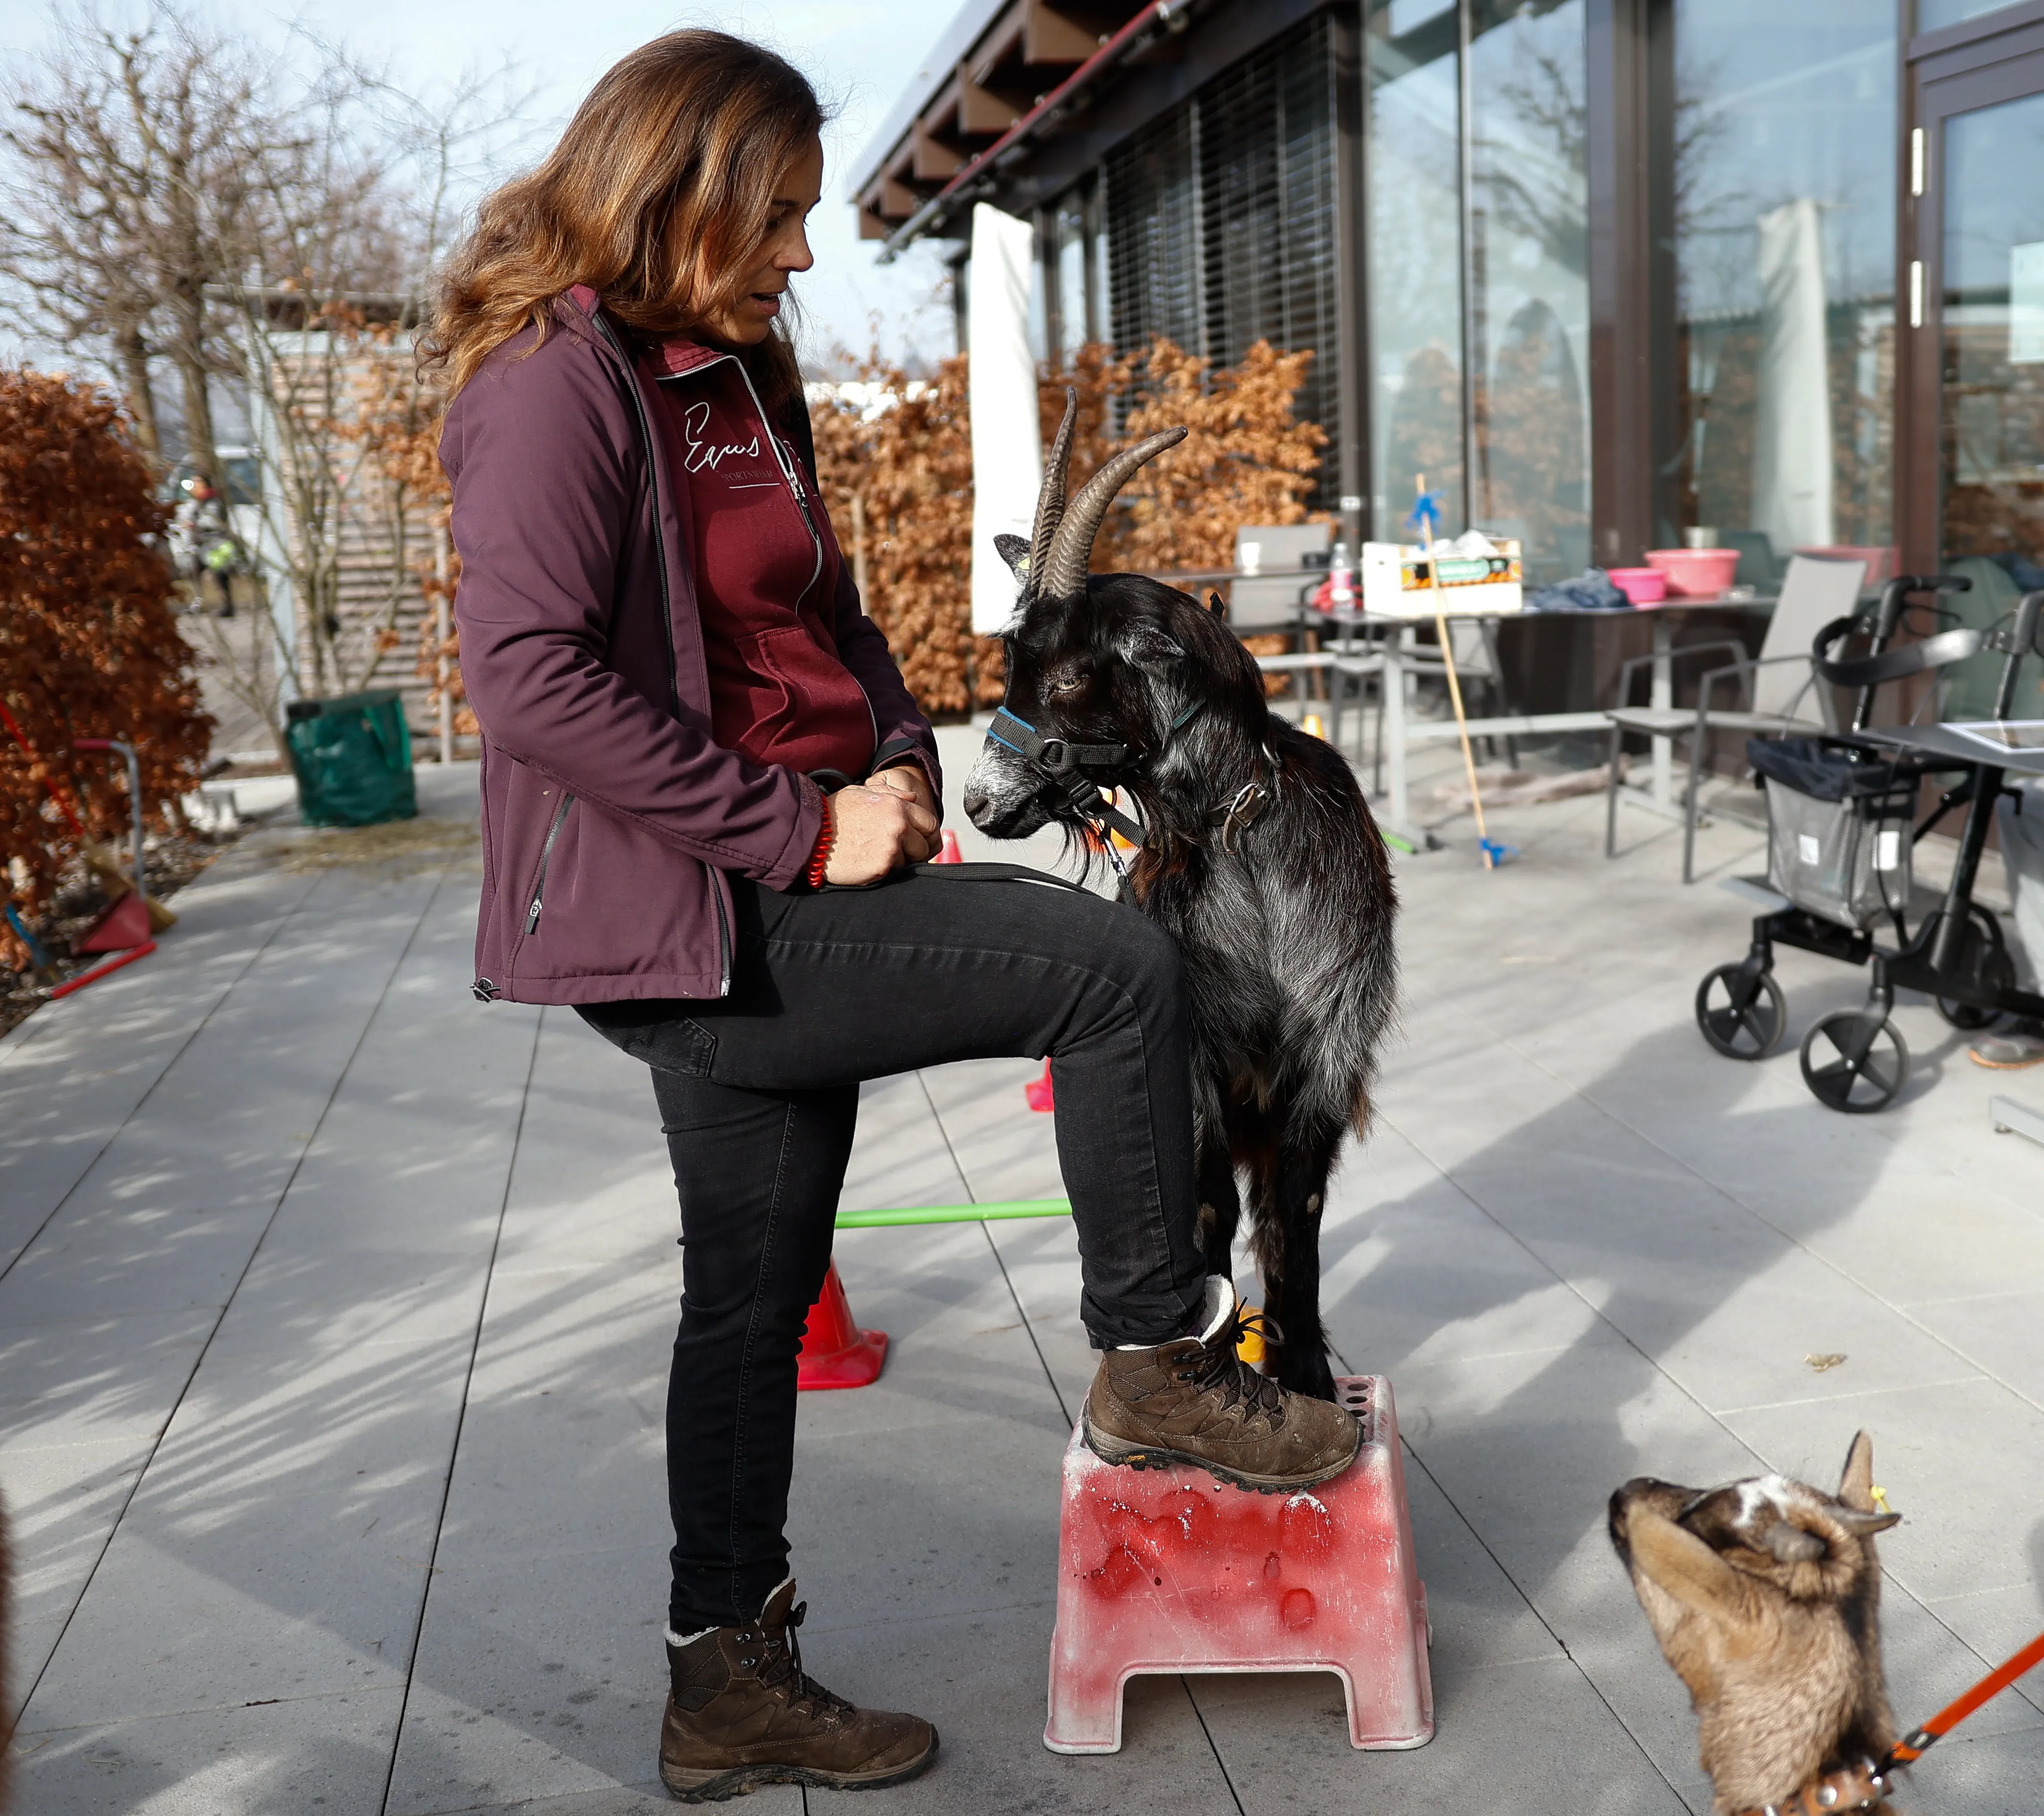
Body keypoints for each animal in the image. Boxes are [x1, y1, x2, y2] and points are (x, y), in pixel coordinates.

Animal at [965, 396, 1398, 1397]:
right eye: (1009, 662)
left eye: (1071, 672)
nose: (978, 802)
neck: (1243, 837)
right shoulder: (1192, 1062)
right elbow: (1201, 1212)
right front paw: (1217, 1365)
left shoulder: (1323, 1060)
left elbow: (1291, 1218)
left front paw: (1305, 1372)